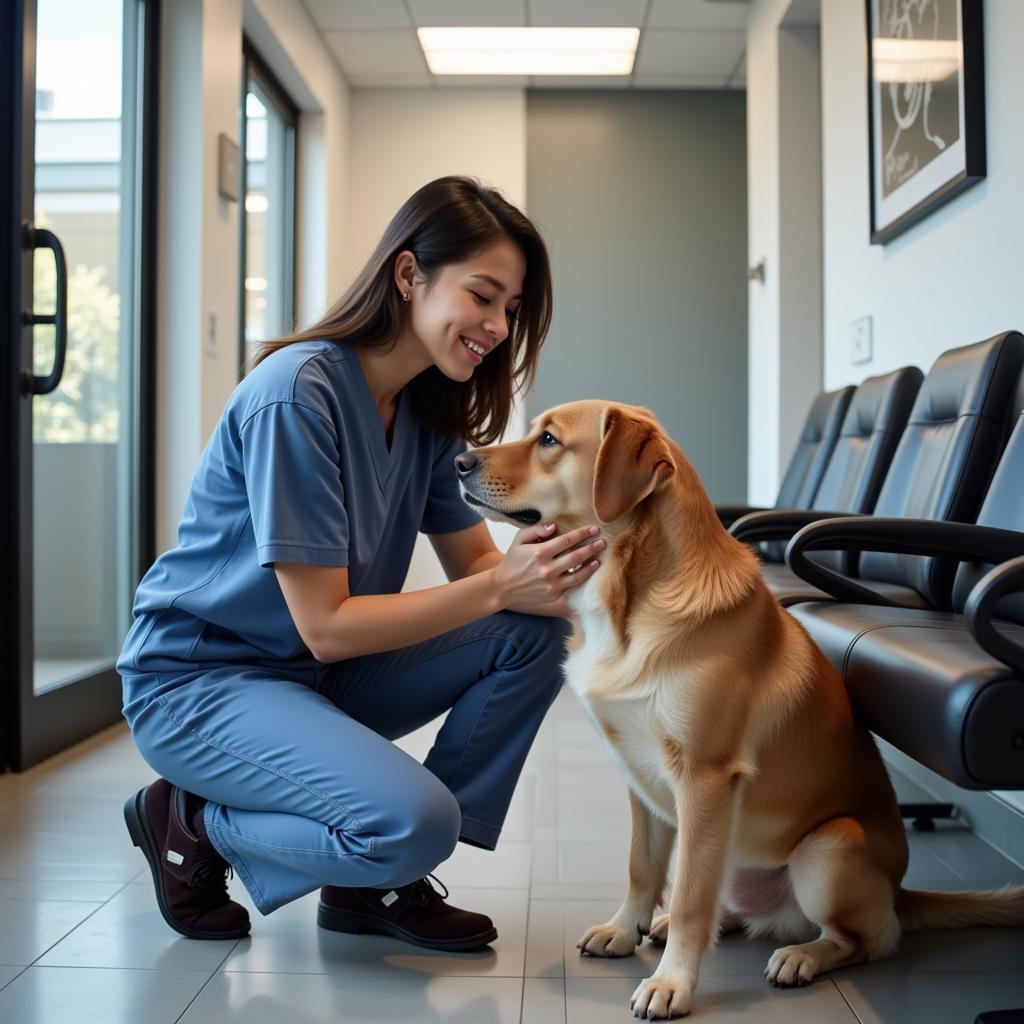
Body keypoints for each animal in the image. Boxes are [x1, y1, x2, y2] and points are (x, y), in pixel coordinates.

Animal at [456, 397, 1024, 1015]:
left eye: (550, 440)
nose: (459, 461)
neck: (632, 600)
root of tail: (900, 892)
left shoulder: (706, 778)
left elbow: (687, 899)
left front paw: (672, 983)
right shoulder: (637, 773)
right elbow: (641, 867)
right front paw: (625, 928)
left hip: (827, 849)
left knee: (865, 940)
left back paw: (802, 956)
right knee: (729, 907)